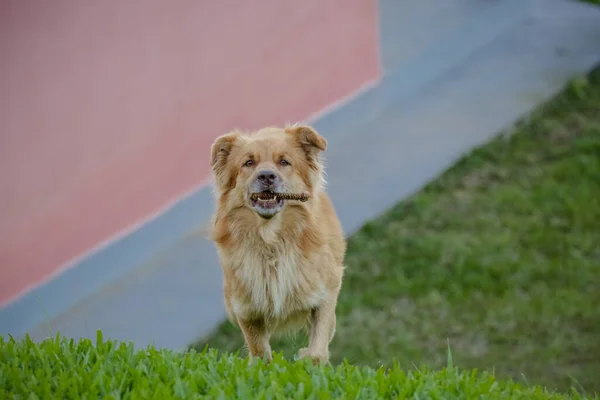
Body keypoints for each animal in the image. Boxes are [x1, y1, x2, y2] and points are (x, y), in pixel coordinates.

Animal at [209, 126, 344, 366]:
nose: (266, 176)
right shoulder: (247, 310)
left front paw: (307, 359)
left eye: (284, 162)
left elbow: (317, 350)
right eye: (248, 163)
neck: (271, 240)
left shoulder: (326, 293)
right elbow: (260, 353)